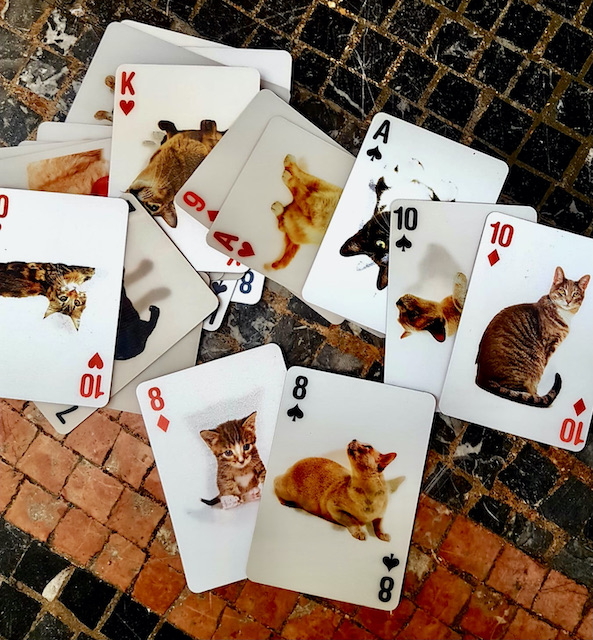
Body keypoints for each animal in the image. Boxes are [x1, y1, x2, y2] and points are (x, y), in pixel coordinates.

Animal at [476, 266, 590, 407]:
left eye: (575, 294)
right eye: (562, 291)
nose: (568, 300)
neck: (563, 314)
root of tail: (482, 377)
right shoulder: (549, 346)